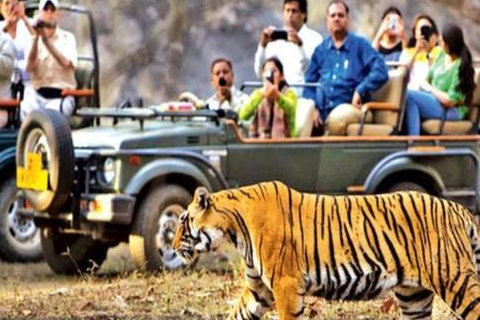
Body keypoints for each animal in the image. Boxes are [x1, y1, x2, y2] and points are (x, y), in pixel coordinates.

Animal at [173, 181, 480, 318]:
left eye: (182, 220)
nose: (174, 247)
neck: (235, 228)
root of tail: (460, 209)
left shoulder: (285, 284)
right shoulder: (259, 289)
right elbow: (239, 313)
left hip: (456, 281)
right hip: (414, 297)